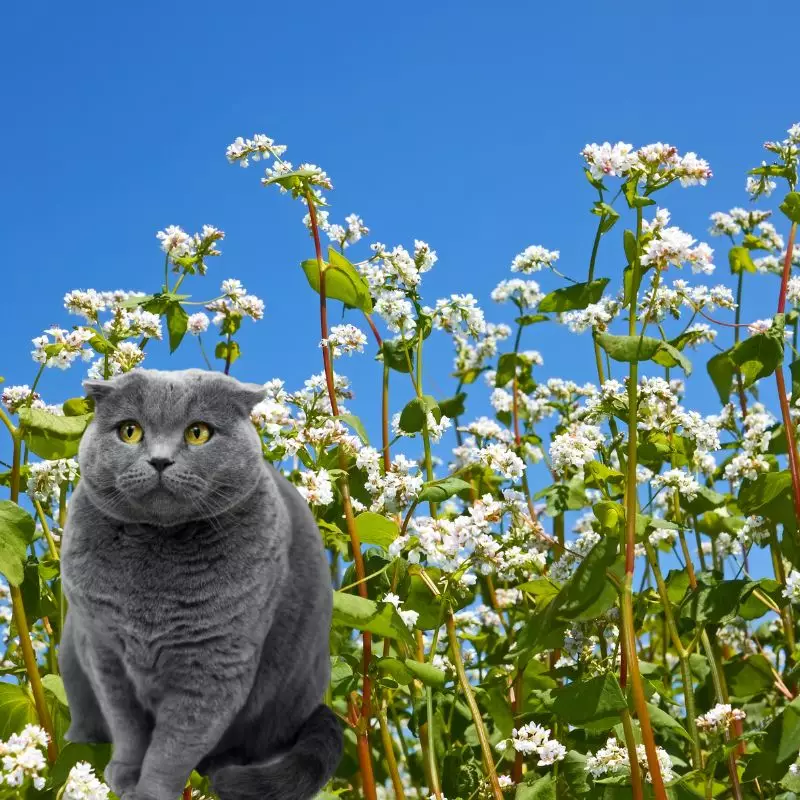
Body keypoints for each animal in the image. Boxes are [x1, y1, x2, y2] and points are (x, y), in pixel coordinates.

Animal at [58, 368, 340, 800]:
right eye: (129, 431)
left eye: (197, 433)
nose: (159, 459)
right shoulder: (104, 652)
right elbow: (128, 727)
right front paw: (124, 774)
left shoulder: (214, 662)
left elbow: (174, 745)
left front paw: (149, 792)